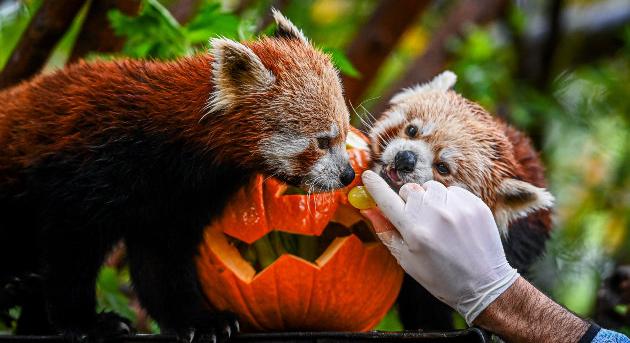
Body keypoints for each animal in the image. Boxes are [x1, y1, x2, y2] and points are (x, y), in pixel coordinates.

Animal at [0, 10, 356, 342]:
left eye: (343, 134)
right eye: (323, 141)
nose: (348, 174)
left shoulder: (173, 203)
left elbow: (161, 264)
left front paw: (197, 321)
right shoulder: (88, 168)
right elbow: (71, 250)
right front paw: (85, 322)